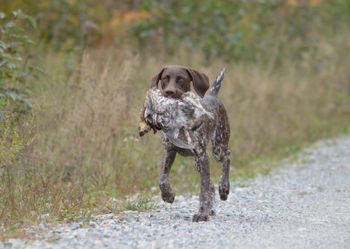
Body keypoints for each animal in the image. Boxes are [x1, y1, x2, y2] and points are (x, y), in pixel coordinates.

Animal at [139, 65, 230, 222]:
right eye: (165, 79)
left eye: (181, 79)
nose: (169, 92)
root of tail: (213, 95)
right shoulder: (169, 151)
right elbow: (163, 179)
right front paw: (167, 195)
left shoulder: (202, 155)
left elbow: (203, 189)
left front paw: (202, 214)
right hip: (199, 162)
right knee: (211, 185)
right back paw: (211, 208)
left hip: (218, 148)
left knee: (226, 159)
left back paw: (224, 188)